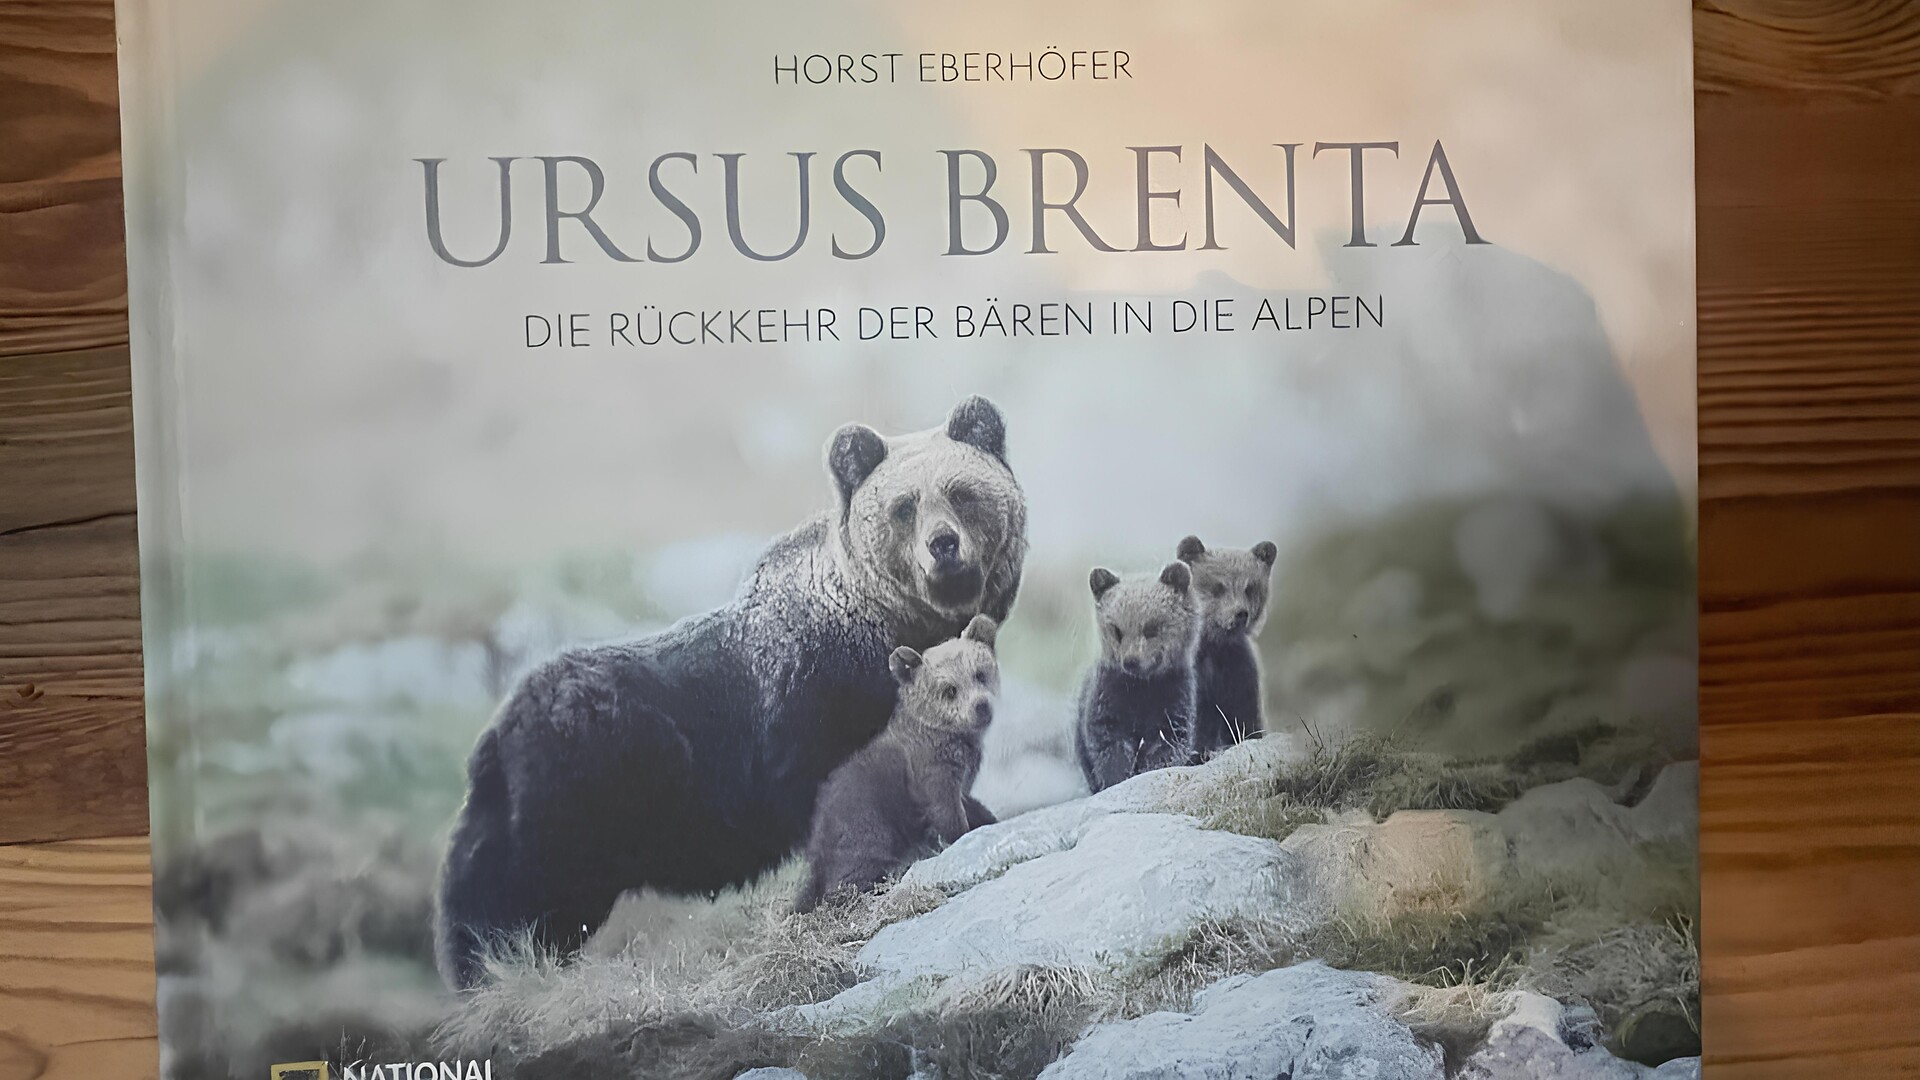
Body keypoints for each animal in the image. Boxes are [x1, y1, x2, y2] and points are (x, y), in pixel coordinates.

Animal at [794, 615, 1001, 913]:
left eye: (979, 674)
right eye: (949, 689)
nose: (981, 706)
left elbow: (970, 803)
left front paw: (988, 818)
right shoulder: (931, 773)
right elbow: (947, 814)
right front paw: (962, 837)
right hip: (867, 825)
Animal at [1073, 561, 1203, 794]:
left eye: (1151, 627)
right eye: (1117, 629)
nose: (1131, 660)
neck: (1142, 689)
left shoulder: (1174, 703)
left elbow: (1167, 747)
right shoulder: (1107, 702)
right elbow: (1108, 749)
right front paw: (1116, 778)